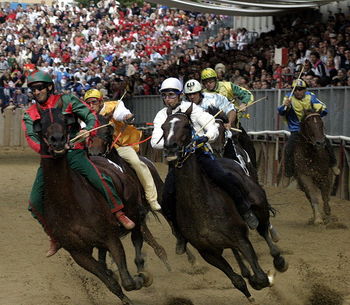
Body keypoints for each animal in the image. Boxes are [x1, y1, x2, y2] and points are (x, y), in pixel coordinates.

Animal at [161, 104, 288, 300]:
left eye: (186, 126)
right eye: (163, 127)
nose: (170, 148)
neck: (200, 207)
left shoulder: (241, 239)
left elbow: (260, 278)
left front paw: (264, 278)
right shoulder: (208, 253)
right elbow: (237, 280)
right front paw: (248, 286)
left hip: (259, 206)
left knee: (263, 228)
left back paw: (279, 260)